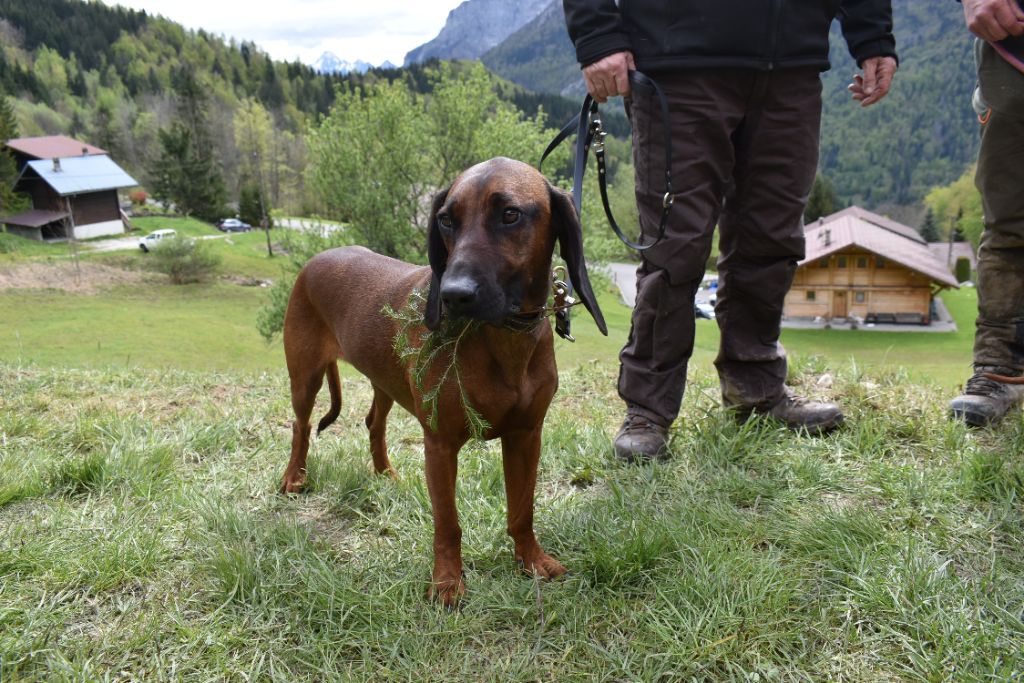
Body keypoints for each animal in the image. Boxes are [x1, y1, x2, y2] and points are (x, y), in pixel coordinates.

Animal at [276, 157, 602, 606]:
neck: (503, 338)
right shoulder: (440, 445)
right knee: (301, 426)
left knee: (373, 423)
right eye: (446, 220)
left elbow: (523, 510)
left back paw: (384, 475)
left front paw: (532, 561)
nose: (452, 295)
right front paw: (447, 583)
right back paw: (294, 477)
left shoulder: (526, 435)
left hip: (384, 378)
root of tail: (316, 257)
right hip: (305, 375)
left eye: (510, 214)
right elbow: (447, 522)